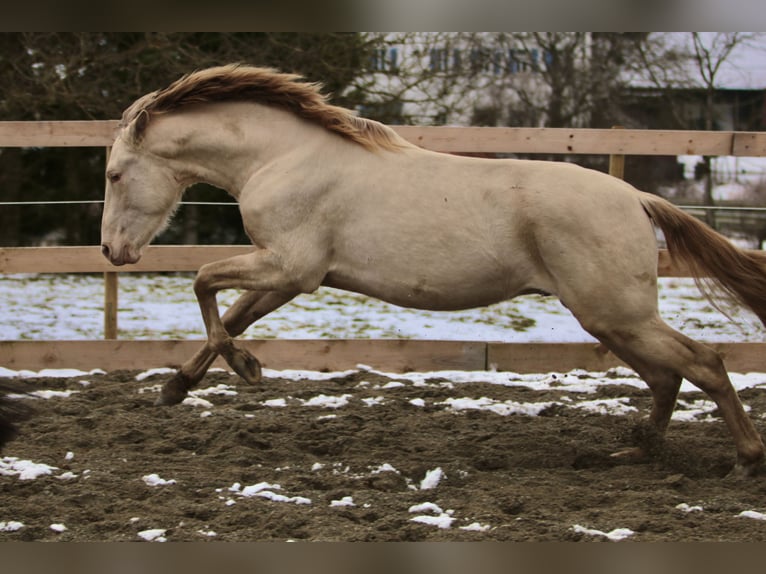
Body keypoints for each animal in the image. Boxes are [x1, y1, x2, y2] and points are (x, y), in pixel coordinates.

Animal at [100, 64, 766, 476]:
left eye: (113, 174)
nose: (111, 251)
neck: (284, 158)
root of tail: (636, 197)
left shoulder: (290, 268)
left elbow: (203, 282)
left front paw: (244, 369)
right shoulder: (289, 278)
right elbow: (233, 315)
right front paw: (179, 387)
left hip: (615, 313)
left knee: (703, 363)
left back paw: (744, 458)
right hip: (609, 319)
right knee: (667, 376)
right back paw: (638, 451)